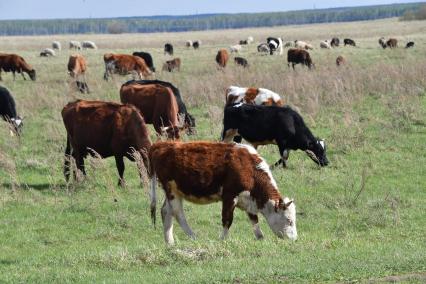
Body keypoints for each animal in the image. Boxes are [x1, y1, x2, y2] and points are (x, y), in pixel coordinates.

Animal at [148, 141, 298, 245]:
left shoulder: (248, 199)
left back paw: (170, 242)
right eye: (289, 221)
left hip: (173, 191)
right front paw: (223, 240)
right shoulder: (229, 196)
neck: (249, 169)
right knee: (178, 213)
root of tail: (161, 145)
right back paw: (193, 236)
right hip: (171, 190)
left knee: (166, 211)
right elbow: (227, 220)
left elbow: (254, 220)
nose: (295, 239)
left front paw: (260, 237)